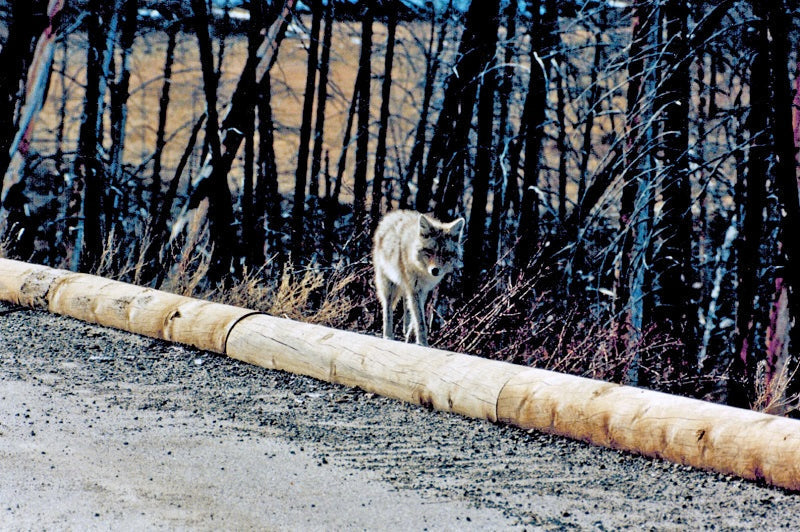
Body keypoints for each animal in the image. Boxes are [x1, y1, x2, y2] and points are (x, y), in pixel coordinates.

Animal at [372, 210, 465, 346]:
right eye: (430, 251)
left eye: (445, 254)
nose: (435, 270)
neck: (422, 271)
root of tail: (392, 215)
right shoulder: (414, 290)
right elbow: (420, 320)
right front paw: (423, 343)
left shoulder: (422, 290)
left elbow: (415, 316)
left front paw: (411, 337)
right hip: (389, 286)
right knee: (387, 309)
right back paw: (388, 335)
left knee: (406, 307)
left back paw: (405, 330)